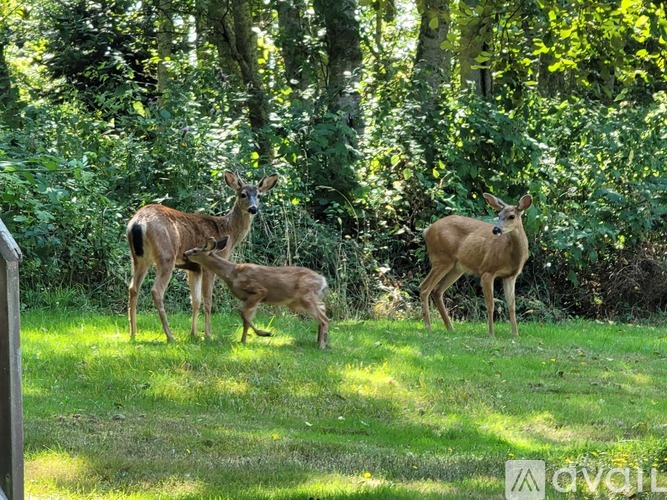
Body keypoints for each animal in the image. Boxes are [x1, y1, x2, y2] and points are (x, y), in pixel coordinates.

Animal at [126, 170, 279, 342]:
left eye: (259, 195)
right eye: (243, 194)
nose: (253, 209)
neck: (227, 231)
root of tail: (139, 222)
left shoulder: (194, 268)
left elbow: (196, 301)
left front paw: (193, 334)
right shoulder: (209, 263)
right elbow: (207, 301)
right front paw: (207, 335)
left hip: (138, 258)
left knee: (133, 288)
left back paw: (133, 333)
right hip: (166, 255)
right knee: (156, 290)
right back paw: (170, 336)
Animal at [183, 236, 330, 349]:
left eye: (195, 250)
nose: (185, 253)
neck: (232, 274)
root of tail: (322, 280)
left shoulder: (259, 290)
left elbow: (243, 314)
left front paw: (264, 333)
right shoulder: (252, 298)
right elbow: (246, 319)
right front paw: (242, 341)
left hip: (305, 297)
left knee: (324, 318)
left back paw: (321, 345)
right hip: (297, 301)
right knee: (323, 308)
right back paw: (322, 341)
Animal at [419, 193, 533, 337]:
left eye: (511, 216)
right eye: (499, 214)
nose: (496, 229)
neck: (510, 254)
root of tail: (427, 230)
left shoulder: (511, 276)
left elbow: (512, 306)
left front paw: (515, 334)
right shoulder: (487, 270)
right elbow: (490, 304)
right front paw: (491, 333)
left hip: (456, 268)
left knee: (437, 290)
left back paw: (450, 328)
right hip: (441, 259)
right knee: (424, 288)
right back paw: (429, 327)